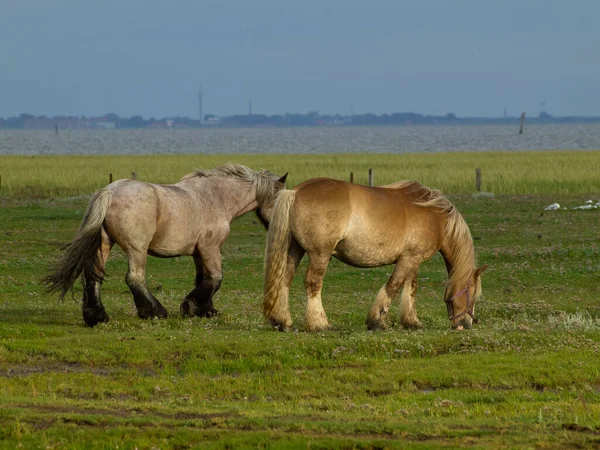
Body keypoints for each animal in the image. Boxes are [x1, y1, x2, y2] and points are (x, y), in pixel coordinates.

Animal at [43, 163, 288, 326]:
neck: (216, 197)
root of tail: (109, 192)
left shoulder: (198, 252)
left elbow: (203, 278)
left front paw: (204, 310)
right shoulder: (210, 248)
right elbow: (216, 278)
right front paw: (191, 306)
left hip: (104, 244)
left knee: (94, 277)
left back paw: (97, 317)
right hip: (137, 249)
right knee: (134, 278)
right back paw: (154, 311)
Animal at [262, 178, 488, 332]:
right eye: (473, 292)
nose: (467, 323)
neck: (435, 217)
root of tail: (295, 191)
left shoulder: (412, 260)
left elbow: (411, 288)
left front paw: (411, 321)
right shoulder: (409, 259)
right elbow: (394, 286)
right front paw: (378, 320)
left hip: (295, 251)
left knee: (285, 280)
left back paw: (282, 321)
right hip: (320, 255)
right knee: (313, 284)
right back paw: (319, 323)